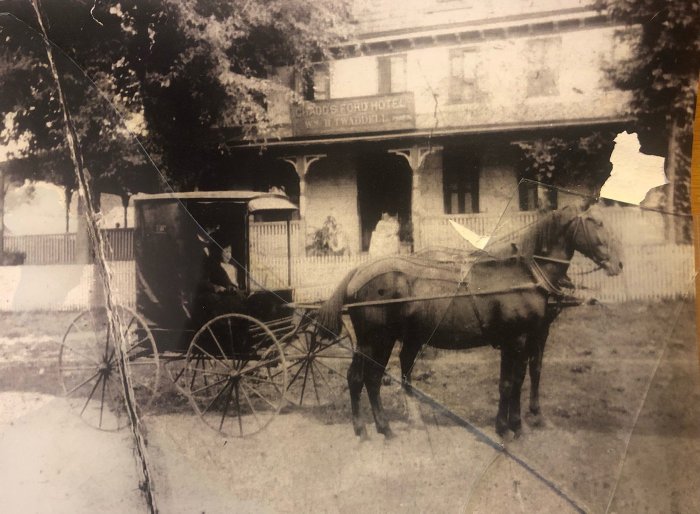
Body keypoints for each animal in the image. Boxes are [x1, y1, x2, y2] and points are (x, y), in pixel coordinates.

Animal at [318, 202, 624, 438]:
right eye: (596, 222)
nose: (618, 264)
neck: (526, 274)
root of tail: (359, 271)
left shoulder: (527, 337)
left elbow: (519, 378)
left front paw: (513, 424)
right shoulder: (517, 340)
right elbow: (511, 382)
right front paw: (512, 427)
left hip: (384, 341)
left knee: (370, 378)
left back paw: (382, 428)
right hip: (375, 340)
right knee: (360, 377)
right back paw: (367, 429)